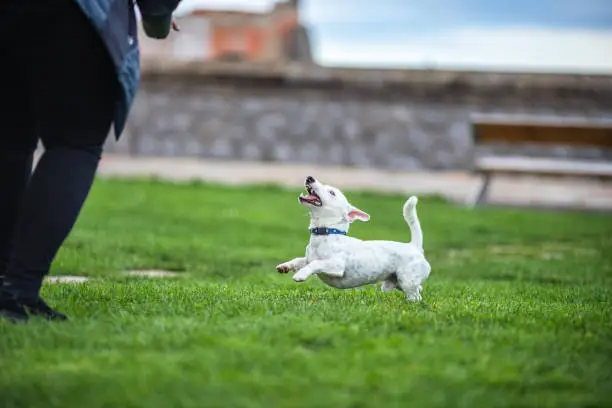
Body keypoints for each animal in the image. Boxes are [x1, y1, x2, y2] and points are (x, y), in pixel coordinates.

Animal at [278, 177, 430, 302]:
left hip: (407, 280)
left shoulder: (337, 265)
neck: (327, 234)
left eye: (332, 192)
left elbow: (315, 263)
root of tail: (414, 246)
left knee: (415, 296)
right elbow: (300, 260)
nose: (310, 178)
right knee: (418, 289)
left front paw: (301, 275)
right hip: (398, 282)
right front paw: (285, 266)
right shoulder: (308, 258)